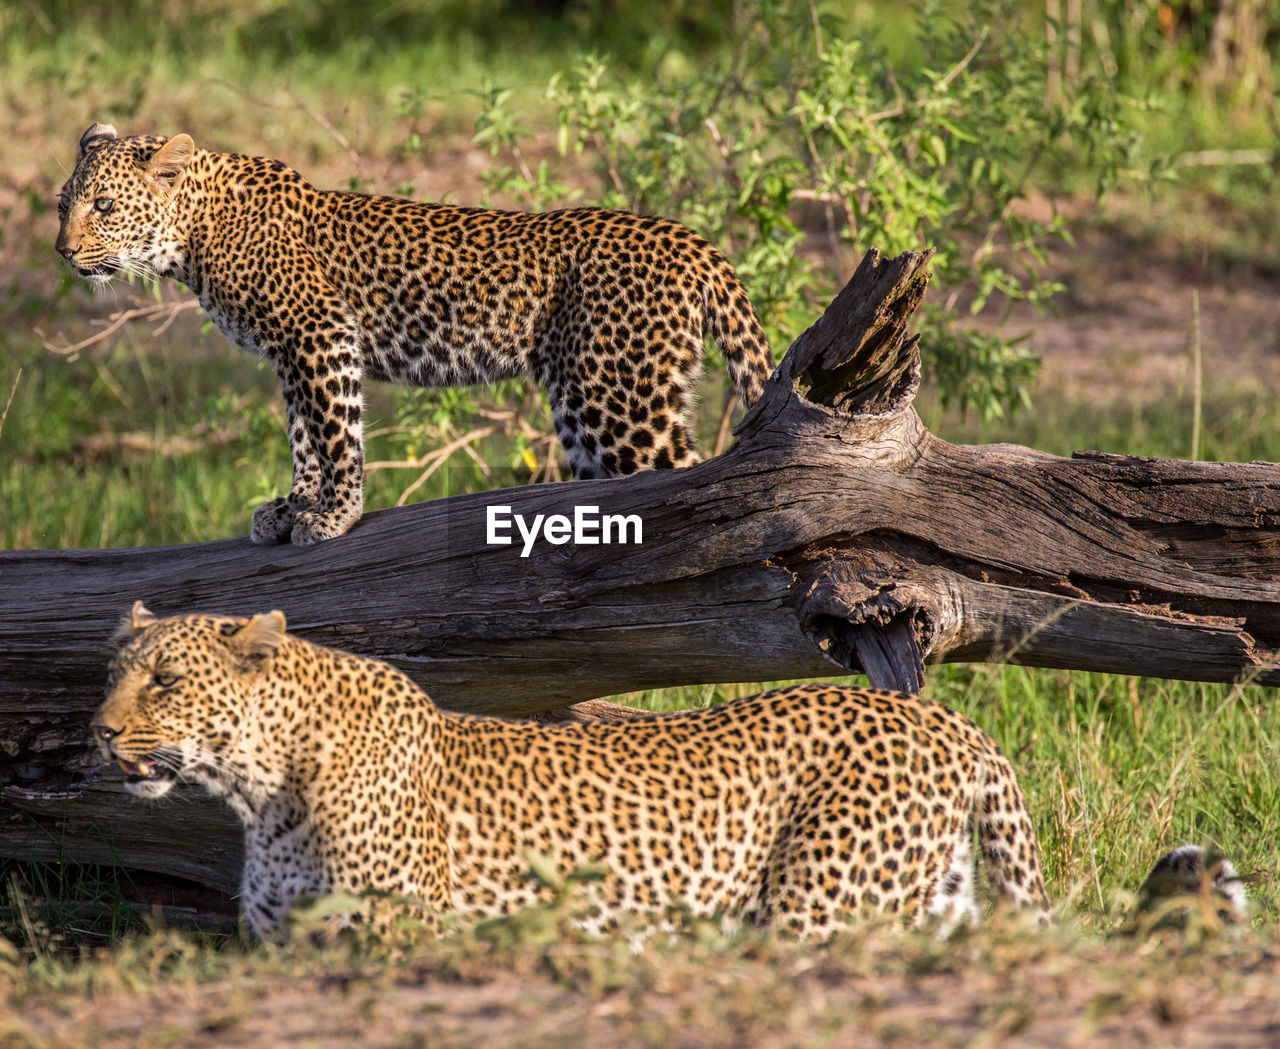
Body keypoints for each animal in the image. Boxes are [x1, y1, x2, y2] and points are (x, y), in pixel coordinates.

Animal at [55, 124, 768, 544]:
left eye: (105, 207)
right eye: (64, 205)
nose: (62, 251)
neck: (192, 236)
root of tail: (692, 240)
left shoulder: (319, 333)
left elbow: (335, 432)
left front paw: (336, 514)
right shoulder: (289, 353)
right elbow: (301, 434)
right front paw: (293, 505)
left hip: (619, 400)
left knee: (690, 486)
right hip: (584, 408)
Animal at [97, 601, 1049, 936]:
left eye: (166, 680)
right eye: (115, 671)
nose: (101, 732)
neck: (262, 790)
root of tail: (946, 718)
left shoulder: (401, 939)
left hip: (818, 905)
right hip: (929, 896)